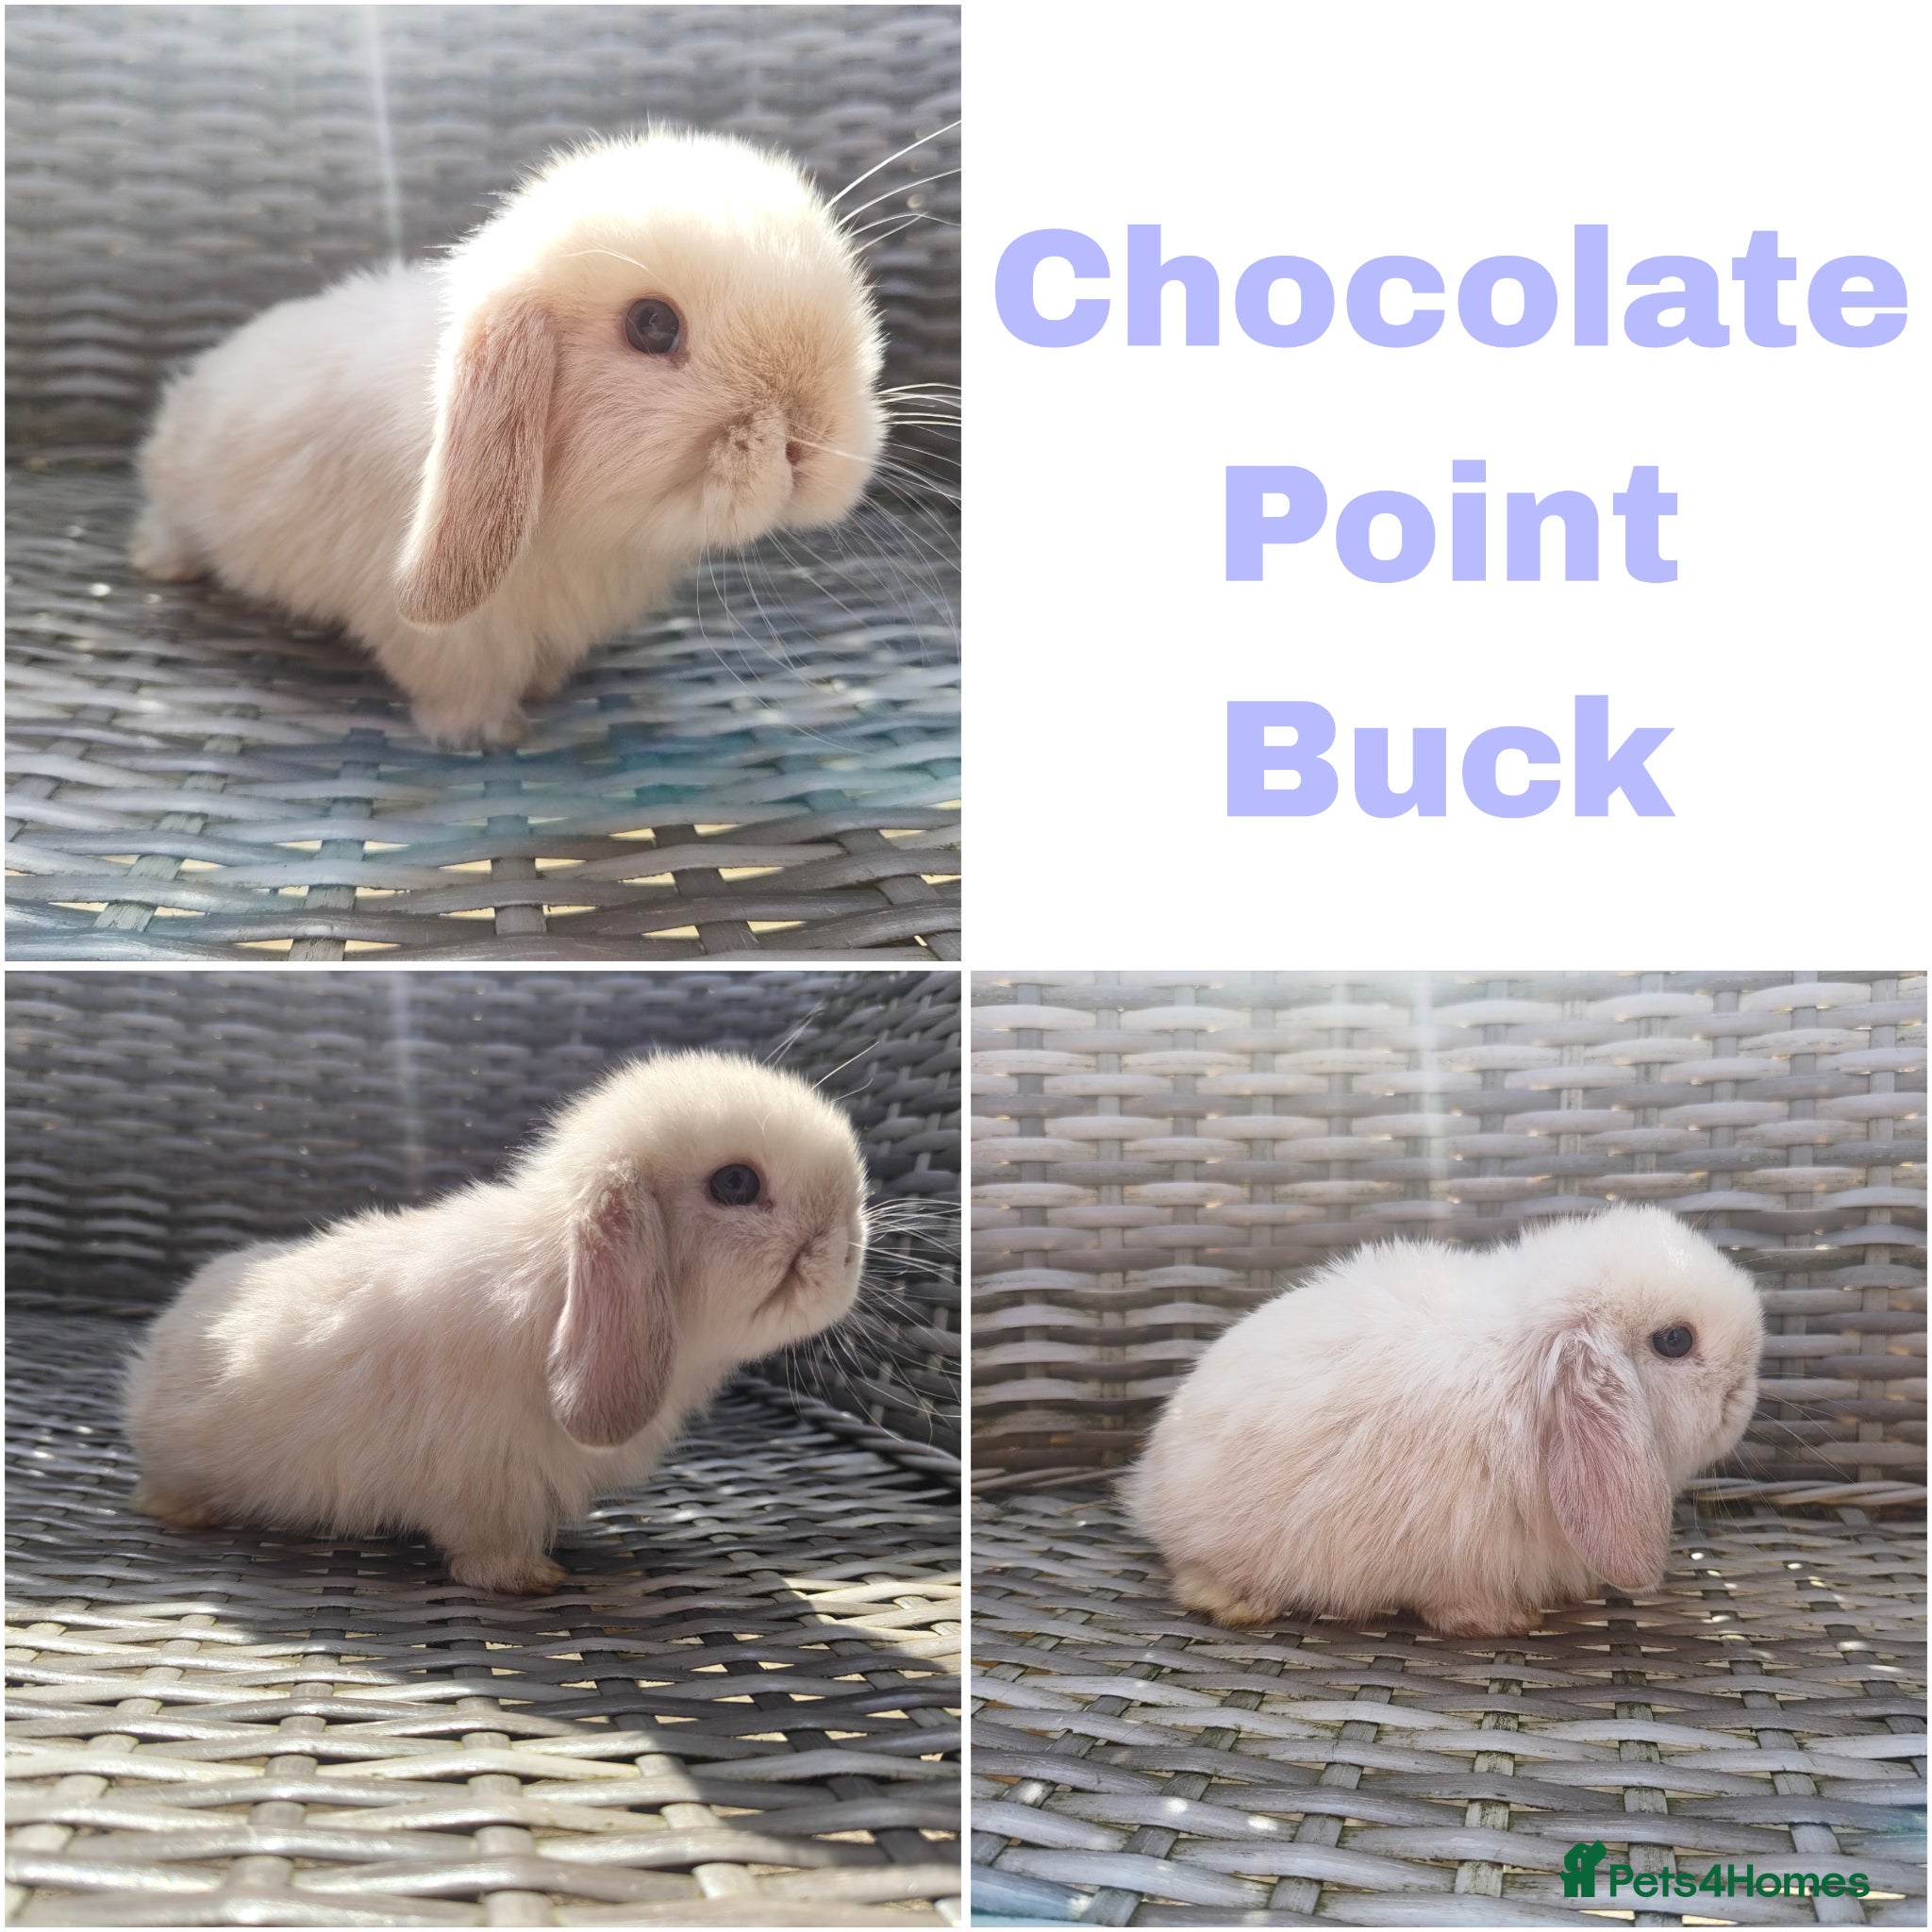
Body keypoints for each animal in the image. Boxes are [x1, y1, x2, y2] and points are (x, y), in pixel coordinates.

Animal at [122, 1050, 867, 1593]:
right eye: (736, 1184)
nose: (851, 1247)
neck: (556, 1290)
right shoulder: (486, 1484)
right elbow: (486, 1550)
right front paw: (532, 1579)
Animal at [130, 131, 884, 747]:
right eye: (653, 325)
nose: (810, 441)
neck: (592, 537)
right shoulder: (454, 641)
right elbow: (462, 686)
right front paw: (485, 736)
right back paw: (165, 565)